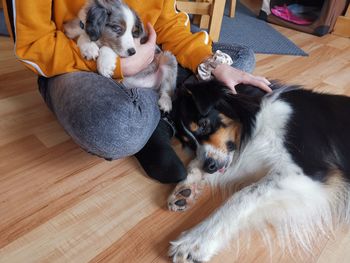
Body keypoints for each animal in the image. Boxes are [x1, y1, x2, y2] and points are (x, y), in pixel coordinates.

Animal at [168, 81, 348, 263]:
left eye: (203, 125)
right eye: (188, 143)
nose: (208, 167)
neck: (258, 119)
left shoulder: (306, 172)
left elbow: (242, 196)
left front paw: (194, 242)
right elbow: (198, 162)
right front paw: (184, 190)